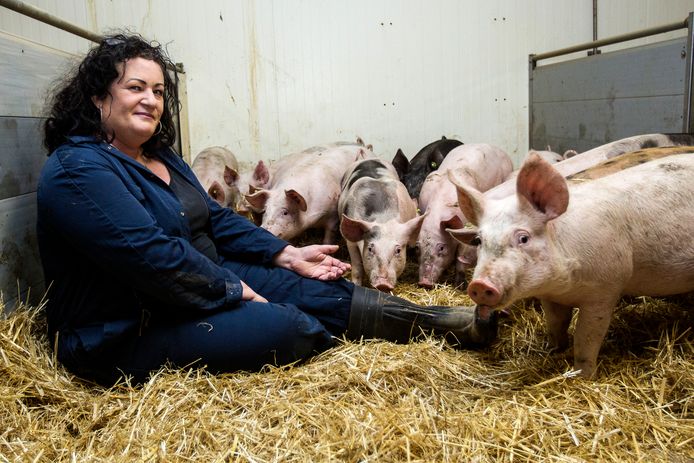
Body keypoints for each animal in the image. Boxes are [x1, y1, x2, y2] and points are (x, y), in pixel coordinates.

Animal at [448, 154, 694, 378]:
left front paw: (583, 376)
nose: (479, 285)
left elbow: (586, 338)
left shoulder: (605, 291)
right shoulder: (550, 297)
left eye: (523, 238)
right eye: (479, 240)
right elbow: (556, 325)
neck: (564, 286)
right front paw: (552, 350)